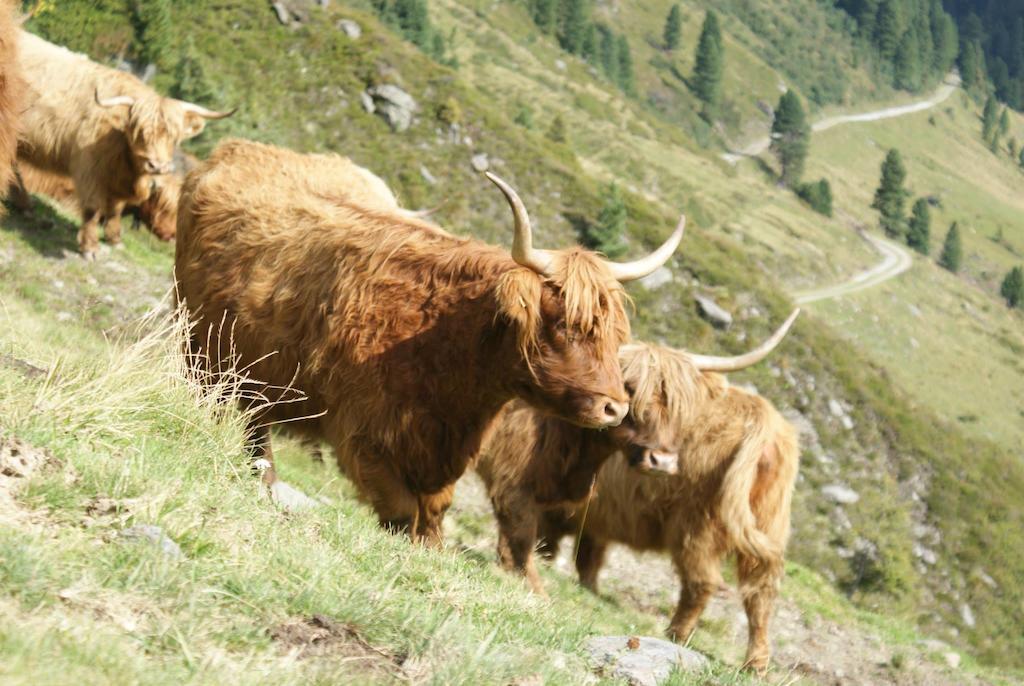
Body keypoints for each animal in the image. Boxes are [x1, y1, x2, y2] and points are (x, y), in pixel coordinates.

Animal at [532, 315, 802, 675]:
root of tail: (760, 417)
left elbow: (553, 539)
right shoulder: (596, 515)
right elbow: (589, 554)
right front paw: (587, 585)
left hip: (696, 524)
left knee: (702, 582)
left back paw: (676, 633)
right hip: (769, 521)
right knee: (761, 592)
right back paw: (755, 664)